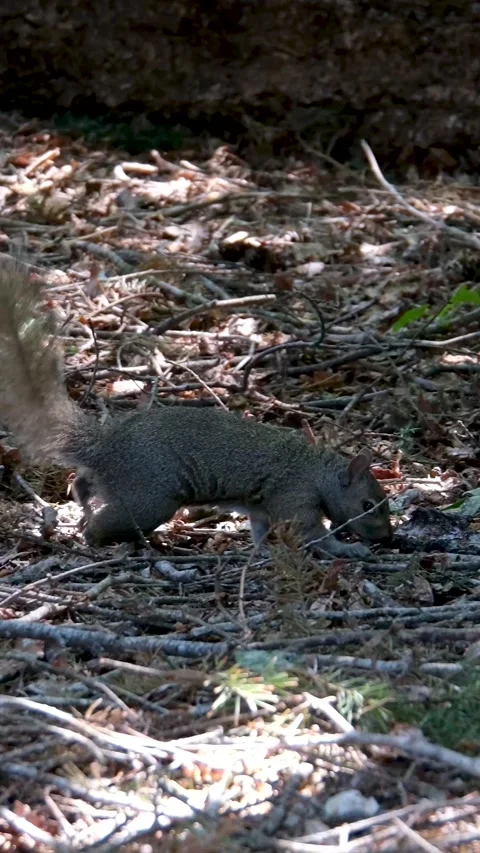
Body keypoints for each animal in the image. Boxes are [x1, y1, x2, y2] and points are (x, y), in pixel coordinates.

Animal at [0, 262, 392, 556]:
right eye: (368, 504)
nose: (389, 537)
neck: (316, 471)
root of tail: (105, 446)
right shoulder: (294, 495)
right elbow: (312, 533)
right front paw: (348, 549)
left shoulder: (263, 507)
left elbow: (262, 530)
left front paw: (263, 552)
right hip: (149, 497)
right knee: (105, 522)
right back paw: (101, 538)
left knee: (82, 484)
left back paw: (82, 510)